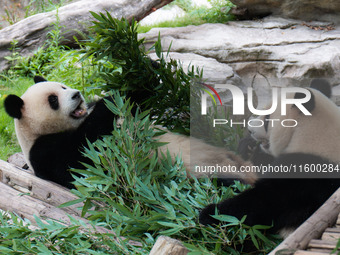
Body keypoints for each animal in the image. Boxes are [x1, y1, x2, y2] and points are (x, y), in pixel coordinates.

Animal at [4, 76, 255, 188]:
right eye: (53, 99)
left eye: (63, 86)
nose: (76, 94)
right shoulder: (47, 151)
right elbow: (84, 158)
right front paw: (109, 100)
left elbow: (134, 106)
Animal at [198, 81, 340, 239]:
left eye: (267, 118)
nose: (250, 129)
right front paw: (246, 148)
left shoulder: (308, 174)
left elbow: (265, 203)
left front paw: (211, 213)